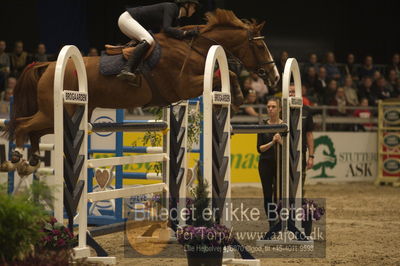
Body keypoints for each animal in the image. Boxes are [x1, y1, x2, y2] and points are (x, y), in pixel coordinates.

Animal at [1, 8, 280, 175]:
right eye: (260, 46)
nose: (275, 77)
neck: (195, 47)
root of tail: (48, 65)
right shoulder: (183, 85)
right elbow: (228, 73)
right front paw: (239, 98)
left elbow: (226, 74)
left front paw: (237, 98)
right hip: (57, 111)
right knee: (22, 125)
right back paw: (16, 158)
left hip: (67, 115)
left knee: (34, 131)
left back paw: (31, 161)